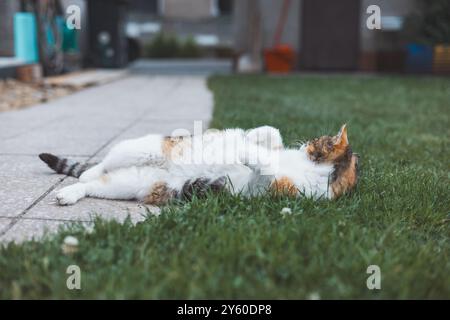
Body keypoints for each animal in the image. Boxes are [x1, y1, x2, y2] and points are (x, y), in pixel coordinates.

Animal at [38, 124, 358, 206]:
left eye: (316, 142)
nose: (304, 144)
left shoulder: (279, 190)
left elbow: (265, 167)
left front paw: (249, 156)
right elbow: (271, 136)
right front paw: (250, 138)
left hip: (129, 183)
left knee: (95, 184)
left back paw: (70, 193)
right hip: (140, 149)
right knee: (102, 164)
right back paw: (84, 174)